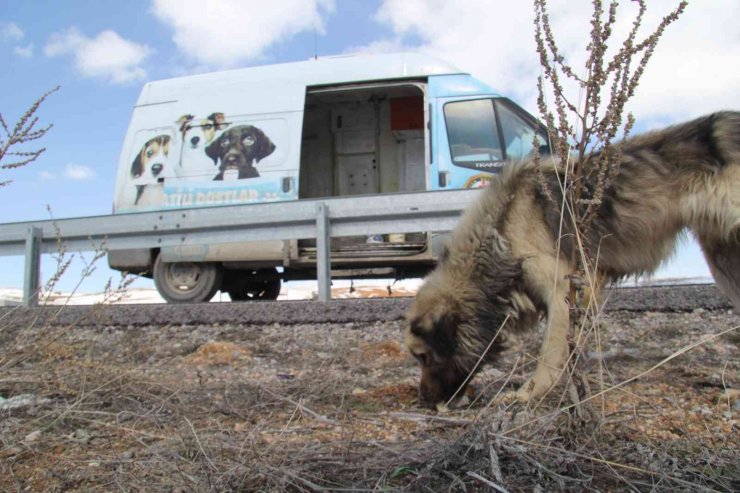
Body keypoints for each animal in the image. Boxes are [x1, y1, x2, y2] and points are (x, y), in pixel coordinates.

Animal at [408, 111, 740, 408]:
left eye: (423, 356)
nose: (423, 400)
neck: (501, 226)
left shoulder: (564, 293)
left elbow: (548, 356)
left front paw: (528, 395)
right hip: (723, 258)